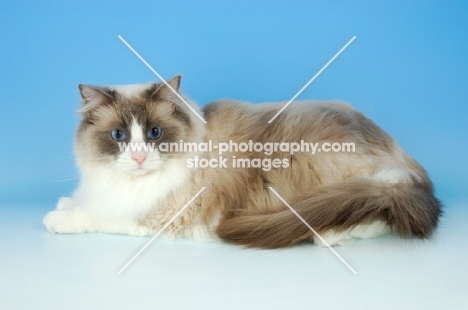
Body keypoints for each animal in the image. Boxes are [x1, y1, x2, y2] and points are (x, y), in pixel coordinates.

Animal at [42, 75, 440, 249]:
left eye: (154, 133)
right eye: (118, 136)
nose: (139, 156)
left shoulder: (158, 217)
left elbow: (99, 217)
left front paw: (58, 219)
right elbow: (82, 202)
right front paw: (63, 205)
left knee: (374, 212)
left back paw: (330, 235)